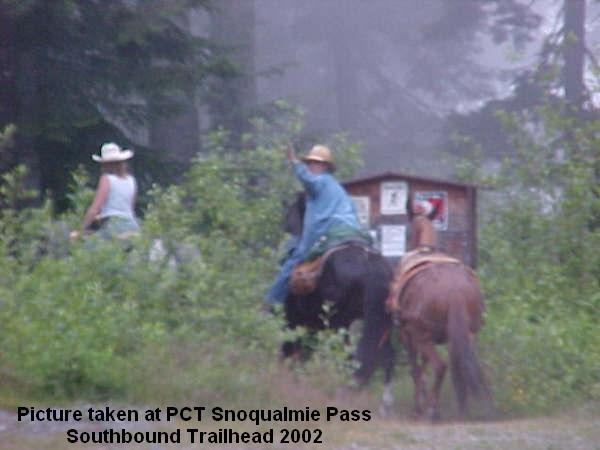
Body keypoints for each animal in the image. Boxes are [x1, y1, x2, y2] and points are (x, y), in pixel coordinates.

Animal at [281, 193, 396, 413]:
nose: (286, 224)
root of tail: (370, 264)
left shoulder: (296, 320)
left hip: (339, 322)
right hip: (380, 321)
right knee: (384, 356)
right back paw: (383, 404)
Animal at [391, 260, 490, 421]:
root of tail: (455, 291)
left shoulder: (409, 338)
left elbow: (415, 370)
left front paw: (418, 409)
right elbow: (422, 368)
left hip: (423, 337)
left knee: (440, 366)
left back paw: (432, 411)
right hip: (466, 335)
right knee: (466, 366)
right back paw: (470, 409)